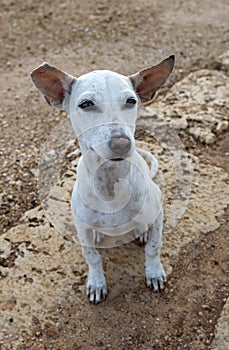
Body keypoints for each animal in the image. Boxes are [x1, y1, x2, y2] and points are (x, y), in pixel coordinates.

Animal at [30, 55, 174, 304]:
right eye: (86, 104)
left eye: (131, 101)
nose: (122, 144)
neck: (111, 182)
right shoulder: (82, 229)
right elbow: (92, 256)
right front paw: (97, 283)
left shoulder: (158, 215)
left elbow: (154, 247)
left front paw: (154, 272)